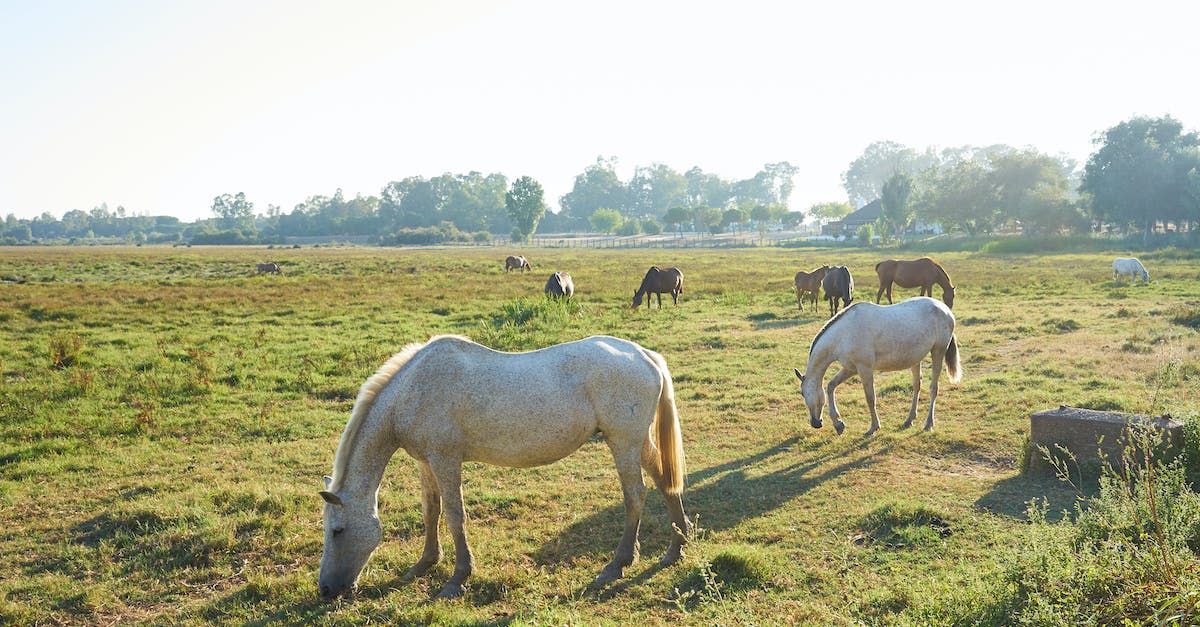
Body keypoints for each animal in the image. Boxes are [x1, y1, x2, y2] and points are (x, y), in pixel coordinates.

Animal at [317, 335, 689, 600]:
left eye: (337, 531)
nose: (325, 590)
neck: (413, 390)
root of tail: (644, 354)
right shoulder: (427, 461)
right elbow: (430, 511)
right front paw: (424, 564)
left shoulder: (445, 460)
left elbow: (454, 516)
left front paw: (458, 578)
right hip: (637, 442)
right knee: (665, 481)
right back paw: (676, 549)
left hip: (623, 443)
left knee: (635, 495)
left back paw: (618, 564)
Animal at [793, 297, 961, 436]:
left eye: (803, 393)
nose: (815, 423)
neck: (844, 334)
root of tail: (945, 309)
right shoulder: (851, 368)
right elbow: (830, 386)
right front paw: (839, 425)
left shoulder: (865, 369)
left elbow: (870, 398)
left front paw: (873, 427)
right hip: (916, 359)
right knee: (917, 386)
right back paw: (909, 420)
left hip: (938, 351)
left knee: (933, 388)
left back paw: (928, 424)